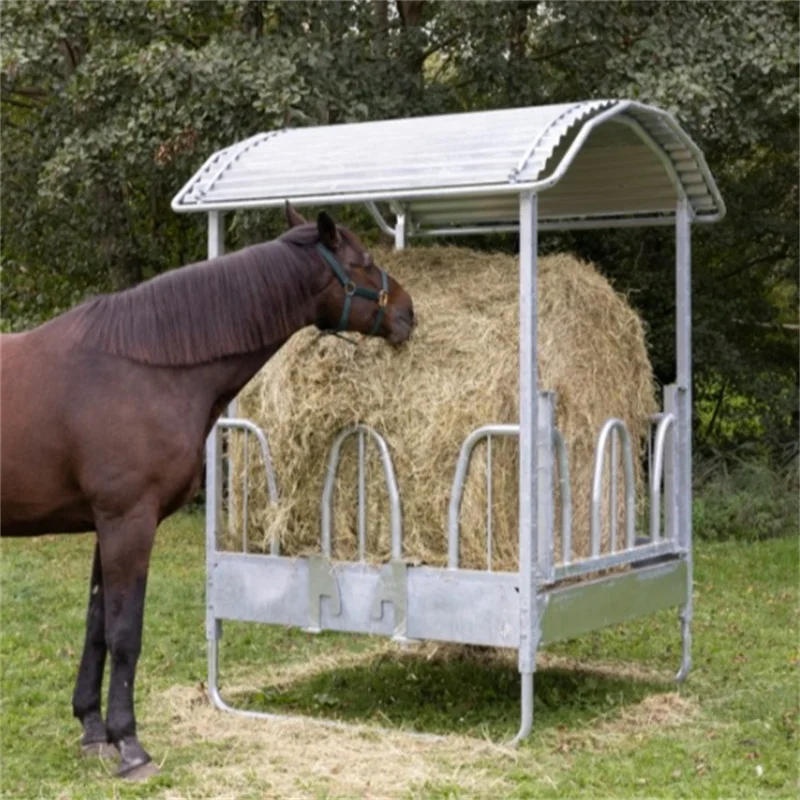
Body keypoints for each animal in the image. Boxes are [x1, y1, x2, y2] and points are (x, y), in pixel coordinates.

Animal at [0, 202, 415, 780]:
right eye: (365, 262)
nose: (408, 312)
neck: (147, 367)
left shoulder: (105, 526)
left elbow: (97, 626)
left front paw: (94, 731)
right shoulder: (128, 521)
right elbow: (125, 633)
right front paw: (130, 745)